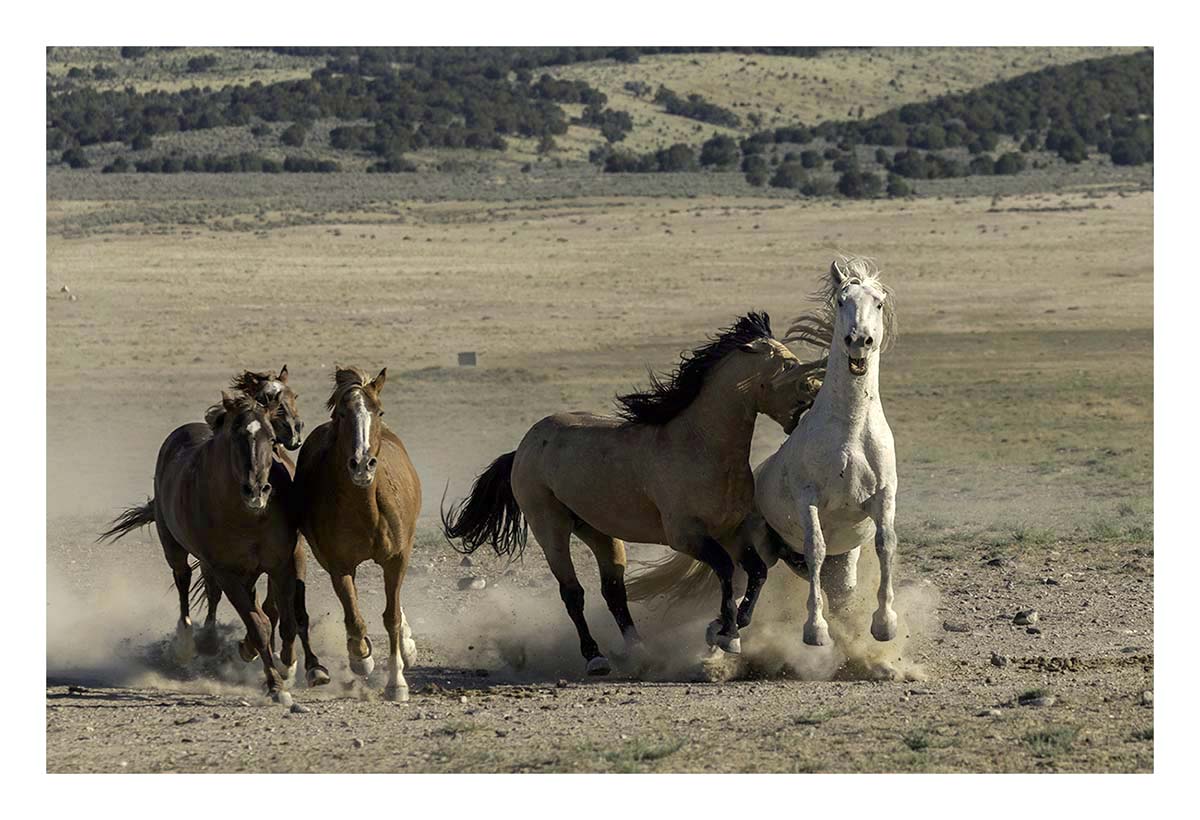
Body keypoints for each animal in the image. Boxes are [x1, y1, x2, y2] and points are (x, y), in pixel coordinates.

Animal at [99, 393, 322, 703]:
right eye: (235, 437)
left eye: (271, 437)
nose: (256, 490)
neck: (250, 517)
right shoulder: (225, 569)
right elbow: (258, 624)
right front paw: (275, 685)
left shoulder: (281, 562)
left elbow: (286, 617)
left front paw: (289, 667)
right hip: (175, 546)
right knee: (184, 581)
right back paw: (190, 642)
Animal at [293, 367, 422, 701]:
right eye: (341, 413)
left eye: (379, 411)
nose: (362, 464)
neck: (365, 509)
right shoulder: (338, 565)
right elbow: (354, 617)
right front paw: (361, 658)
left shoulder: (397, 559)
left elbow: (391, 617)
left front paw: (396, 683)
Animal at [441, 312, 817, 675]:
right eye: (787, 365)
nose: (809, 403)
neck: (700, 446)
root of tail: (522, 447)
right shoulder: (688, 536)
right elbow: (725, 569)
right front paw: (726, 632)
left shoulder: (732, 532)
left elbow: (757, 572)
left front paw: (731, 627)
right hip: (550, 527)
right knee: (572, 593)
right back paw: (595, 658)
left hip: (599, 532)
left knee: (614, 592)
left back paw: (638, 652)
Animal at [624, 257, 901, 651]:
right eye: (841, 301)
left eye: (877, 303)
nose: (858, 341)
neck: (850, 432)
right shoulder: (808, 499)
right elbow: (816, 548)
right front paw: (814, 630)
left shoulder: (883, 496)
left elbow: (885, 544)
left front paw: (884, 625)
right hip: (761, 546)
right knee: (752, 578)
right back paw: (724, 630)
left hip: (834, 563)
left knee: (831, 589)